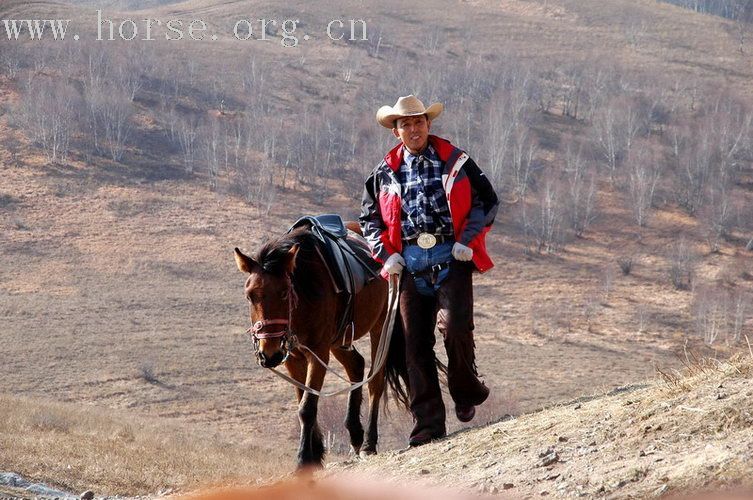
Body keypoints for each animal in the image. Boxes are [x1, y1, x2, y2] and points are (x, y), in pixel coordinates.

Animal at [235, 223, 412, 468]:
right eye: (250, 296)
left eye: (283, 292)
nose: (268, 354)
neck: (306, 291)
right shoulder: (293, 358)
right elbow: (303, 400)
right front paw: (316, 452)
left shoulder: (318, 354)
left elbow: (307, 407)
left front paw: (303, 460)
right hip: (339, 340)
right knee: (356, 365)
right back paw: (355, 434)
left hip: (379, 329)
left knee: (375, 381)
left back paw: (368, 443)